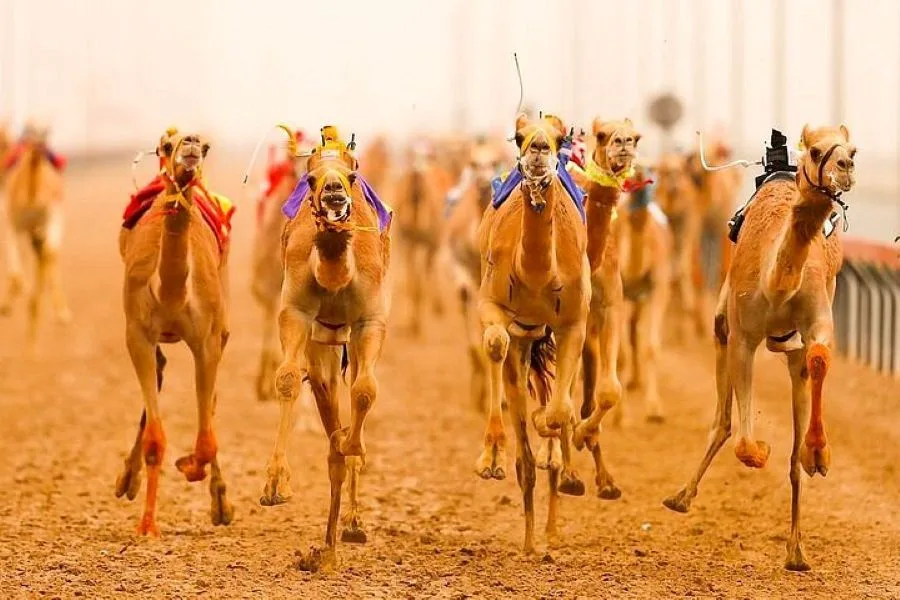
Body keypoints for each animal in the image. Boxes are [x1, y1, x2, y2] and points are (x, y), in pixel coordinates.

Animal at [0, 123, 71, 349]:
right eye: (29, 129)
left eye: (48, 131)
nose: (39, 142)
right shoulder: (24, 226)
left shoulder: (22, 223)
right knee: (45, 255)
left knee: (43, 256)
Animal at [116, 129, 234, 536]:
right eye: (165, 146)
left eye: (207, 147)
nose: (192, 144)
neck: (169, 292)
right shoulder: (137, 333)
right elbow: (156, 438)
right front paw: (147, 526)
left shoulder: (208, 339)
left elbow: (208, 437)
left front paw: (191, 467)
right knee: (161, 368)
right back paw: (126, 481)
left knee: (211, 403)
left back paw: (221, 504)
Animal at [260, 126, 392, 571]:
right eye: (311, 178)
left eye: (352, 175)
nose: (334, 192)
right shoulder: (295, 312)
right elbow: (286, 379)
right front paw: (275, 485)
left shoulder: (370, 320)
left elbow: (366, 391)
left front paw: (354, 444)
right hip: (324, 348)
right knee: (324, 401)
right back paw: (328, 546)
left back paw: (350, 525)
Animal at [475, 113, 590, 551]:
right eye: (518, 135)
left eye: (559, 137)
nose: (539, 148)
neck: (539, 275)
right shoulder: (491, 303)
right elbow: (494, 342)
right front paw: (491, 458)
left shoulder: (574, 321)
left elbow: (558, 411)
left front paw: (553, 443)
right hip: (524, 336)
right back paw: (528, 539)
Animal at [664, 124, 857, 572]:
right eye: (816, 150)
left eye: (852, 150)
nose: (845, 167)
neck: (777, 283)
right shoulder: (743, 334)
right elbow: (744, 443)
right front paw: (763, 450)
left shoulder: (817, 320)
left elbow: (819, 357)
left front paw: (818, 455)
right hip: (725, 322)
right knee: (723, 420)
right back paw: (680, 497)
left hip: (788, 350)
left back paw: (797, 551)